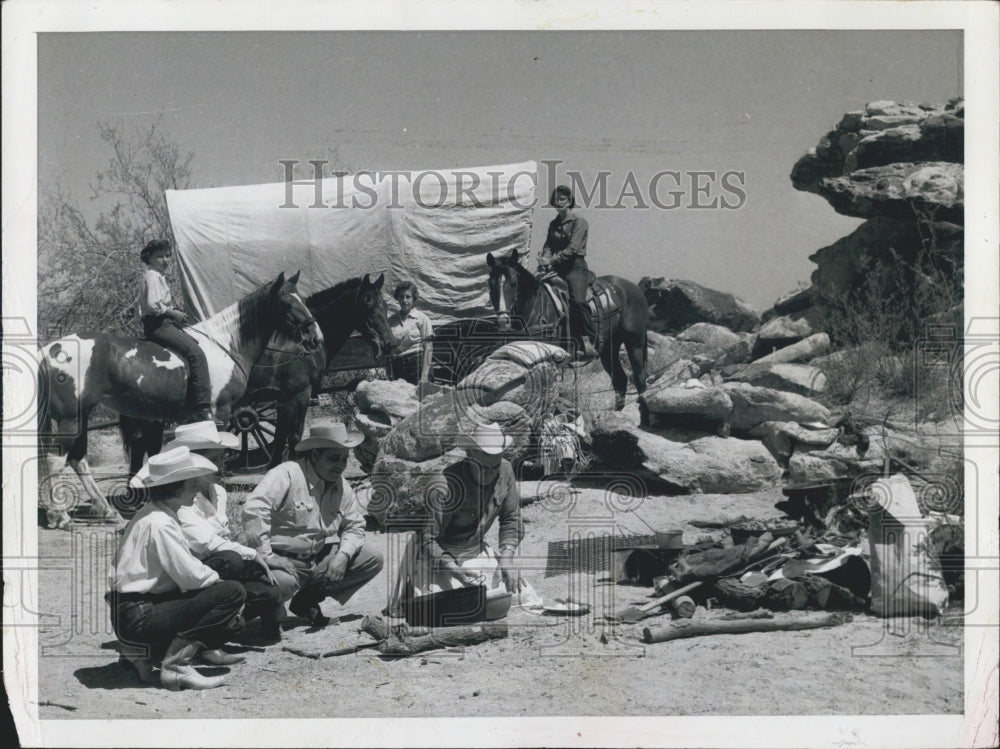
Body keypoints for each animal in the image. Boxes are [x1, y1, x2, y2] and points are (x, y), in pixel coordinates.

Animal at [37, 270, 318, 524]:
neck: (225, 346)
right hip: (70, 419)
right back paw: (60, 516)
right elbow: (213, 459)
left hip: (81, 416)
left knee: (78, 460)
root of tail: (49, 350)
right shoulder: (219, 413)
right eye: (287, 302)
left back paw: (106, 511)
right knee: (56, 460)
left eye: (303, 299)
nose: (314, 337)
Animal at [244, 272, 392, 464]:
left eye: (386, 305)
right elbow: (294, 439)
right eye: (368, 304)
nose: (389, 343)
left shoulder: (283, 400)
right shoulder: (299, 397)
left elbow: (279, 440)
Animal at [484, 251, 648, 424]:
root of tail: (633, 288)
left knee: (639, 378)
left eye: (514, 283)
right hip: (609, 348)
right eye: (491, 284)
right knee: (619, 380)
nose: (503, 321)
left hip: (635, 343)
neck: (538, 308)